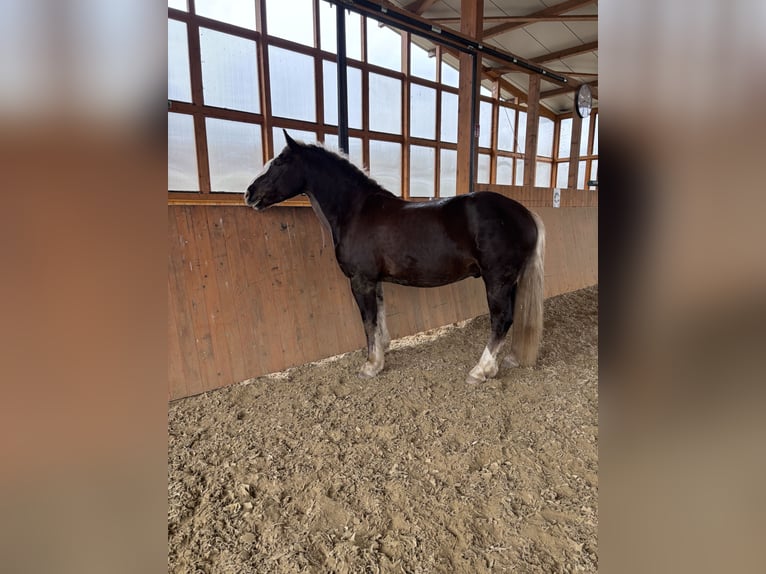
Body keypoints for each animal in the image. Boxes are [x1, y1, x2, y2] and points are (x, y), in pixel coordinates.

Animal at [245, 130, 545, 384]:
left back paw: (480, 371)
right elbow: (379, 316)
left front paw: (370, 366)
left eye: (280, 161)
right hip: (510, 281)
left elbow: (368, 321)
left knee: (501, 319)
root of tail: (525, 213)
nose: (249, 193)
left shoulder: (360, 280)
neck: (356, 210)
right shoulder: (374, 280)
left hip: (497, 281)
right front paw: (381, 354)